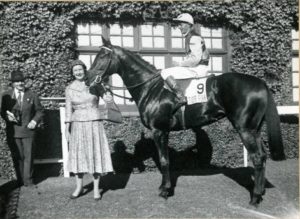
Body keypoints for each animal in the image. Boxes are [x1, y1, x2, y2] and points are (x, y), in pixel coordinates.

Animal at [85, 36, 284, 206]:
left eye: (102, 55)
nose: (88, 78)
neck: (151, 88)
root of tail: (260, 83)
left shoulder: (159, 131)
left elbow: (164, 161)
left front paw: (165, 191)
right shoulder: (163, 131)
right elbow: (165, 160)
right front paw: (164, 187)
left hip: (245, 129)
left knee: (257, 158)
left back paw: (255, 198)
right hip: (255, 129)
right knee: (262, 156)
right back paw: (260, 192)